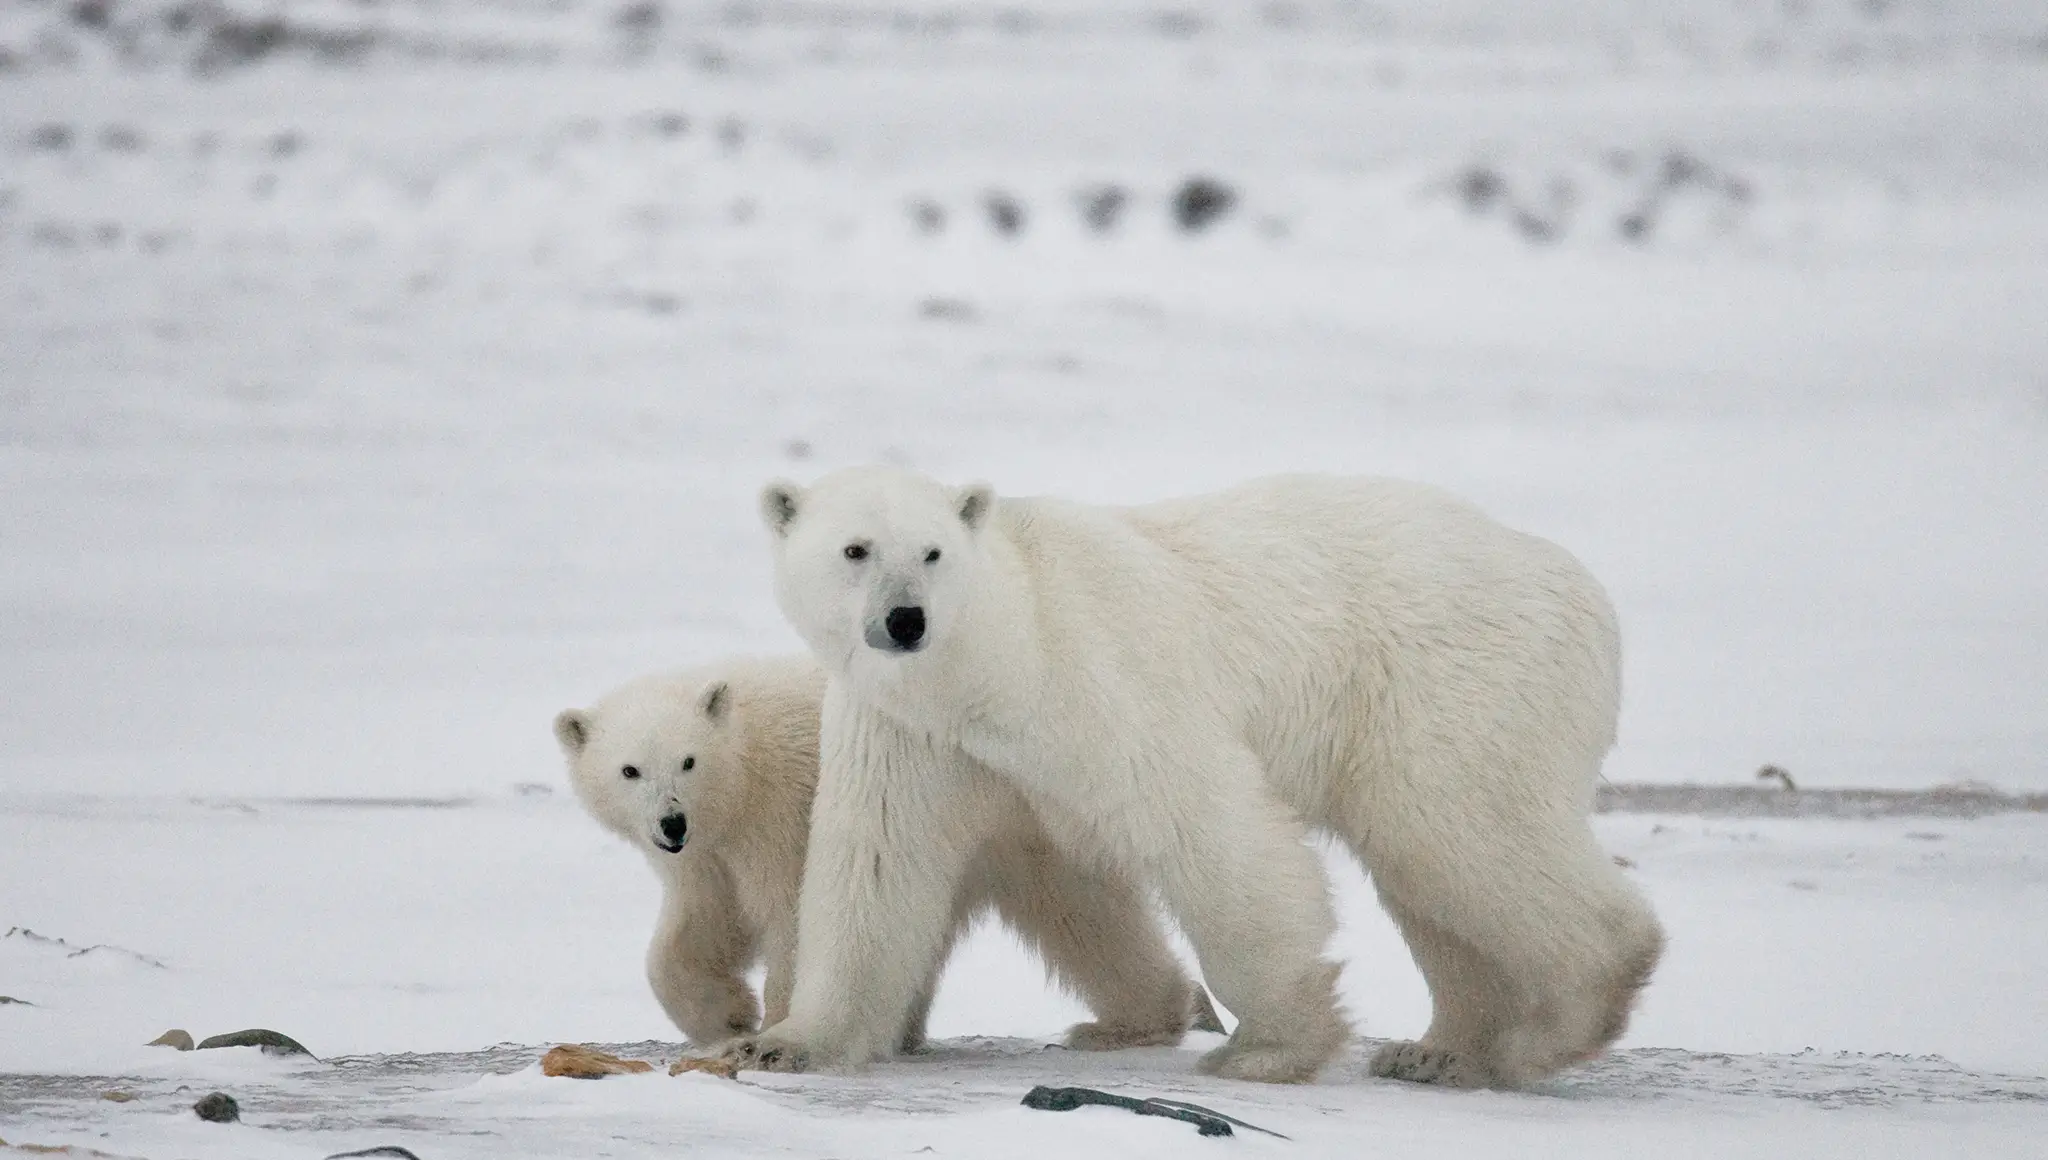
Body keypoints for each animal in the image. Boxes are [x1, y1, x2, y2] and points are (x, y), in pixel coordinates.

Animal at [553, 654, 1224, 1052]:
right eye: (629, 769)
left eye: (689, 760)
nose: (671, 821)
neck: (745, 775)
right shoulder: (707, 856)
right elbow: (696, 930)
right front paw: (725, 1015)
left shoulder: (784, 815)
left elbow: (794, 916)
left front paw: (771, 1026)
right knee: (1085, 915)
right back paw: (1147, 1014)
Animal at [719, 466, 1665, 1089]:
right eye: (855, 549)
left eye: (933, 552)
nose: (905, 620)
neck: (995, 660)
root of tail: (1587, 592)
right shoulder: (913, 732)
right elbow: (876, 865)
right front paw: (785, 1041)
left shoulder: (1097, 675)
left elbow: (1207, 826)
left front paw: (1269, 1045)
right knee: (1432, 876)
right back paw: (1439, 1049)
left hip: (1454, 685)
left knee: (1462, 831)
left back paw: (1558, 1023)